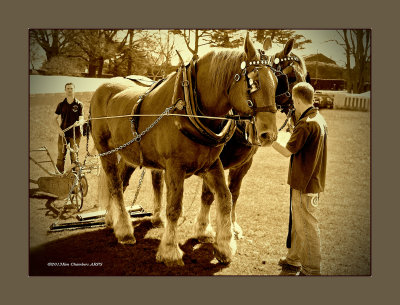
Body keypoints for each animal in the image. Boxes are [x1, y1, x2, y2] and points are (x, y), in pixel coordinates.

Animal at [90, 33, 278, 264]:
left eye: (277, 82)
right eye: (254, 83)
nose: (269, 134)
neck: (188, 107)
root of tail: (104, 86)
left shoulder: (211, 164)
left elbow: (225, 198)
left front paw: (224, 246)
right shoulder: (174, 167)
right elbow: (174, 207)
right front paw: (170, 250)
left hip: (128, 153)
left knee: (120, 182)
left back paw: (112, 219)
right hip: (105, 149)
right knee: (115, 184)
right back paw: (124, 230)